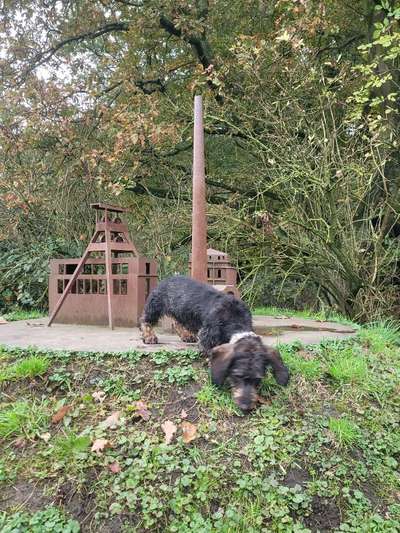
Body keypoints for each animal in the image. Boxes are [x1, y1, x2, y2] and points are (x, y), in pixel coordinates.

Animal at [139, 276, 290, 410]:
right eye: (237, 376)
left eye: (257, 379)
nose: (245, 406)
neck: (235, 319)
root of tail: (168, 278)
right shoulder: (207, 334)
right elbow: (207, 349)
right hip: (156, 305)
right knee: (145, 319)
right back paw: (149, 337)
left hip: (180, 311)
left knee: (177, 322)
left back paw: (186, 335)